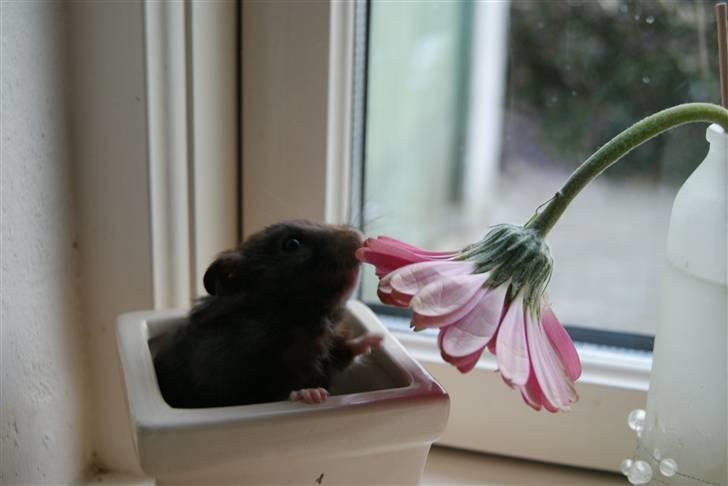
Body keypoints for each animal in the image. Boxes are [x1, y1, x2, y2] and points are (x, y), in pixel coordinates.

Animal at [150, 220, 382, 408]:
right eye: (292, 244)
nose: (360, 238)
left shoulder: (330, 353)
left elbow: (345, 353)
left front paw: (375, 339)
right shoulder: (232, 378)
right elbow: (274, 393)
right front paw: (311, 394)